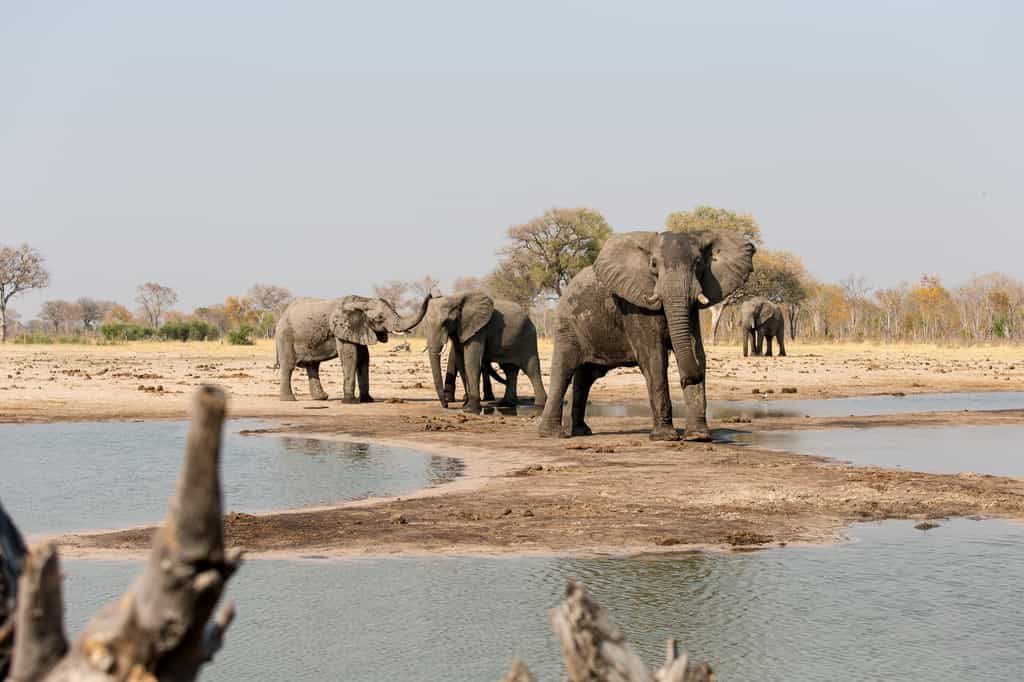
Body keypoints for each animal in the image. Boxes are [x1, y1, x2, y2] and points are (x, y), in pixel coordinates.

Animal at [275, 292, 434, 402]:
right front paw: (349, 401)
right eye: (380, 318)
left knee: (313, 366)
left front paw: (368, 400)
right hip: (285, 335)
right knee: (288, 366)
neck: (362, 301)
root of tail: (283, 315)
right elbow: (350, 357)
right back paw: (289, 400)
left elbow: (364, 358)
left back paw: (322, 398)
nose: (431, 294)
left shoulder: (359, 329)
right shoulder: (342, 328)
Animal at [537, 229, 755, 441]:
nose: (685, 379)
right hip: (567, 324)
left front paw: (698, 437)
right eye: (654, 264)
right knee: (563, 371)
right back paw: (552, 434)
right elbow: (654, 359)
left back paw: (582, 431)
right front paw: (665, 437)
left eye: (699, 263)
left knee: (586, 377)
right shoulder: (635, 306)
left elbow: (697, 353)